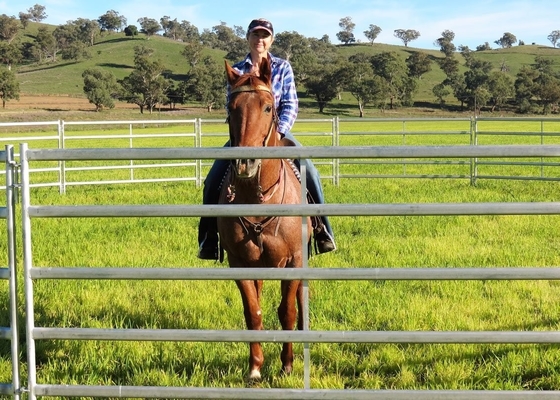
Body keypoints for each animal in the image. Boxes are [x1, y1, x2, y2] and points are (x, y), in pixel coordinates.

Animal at [218, 57, 312, 380]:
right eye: (231, 107)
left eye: (268, 107)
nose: (245, 163)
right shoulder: (238, 264)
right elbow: (253, 313)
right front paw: (255, 368)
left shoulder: (294, 261)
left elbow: (287, 312)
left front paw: (287, 365)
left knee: (300, 303)